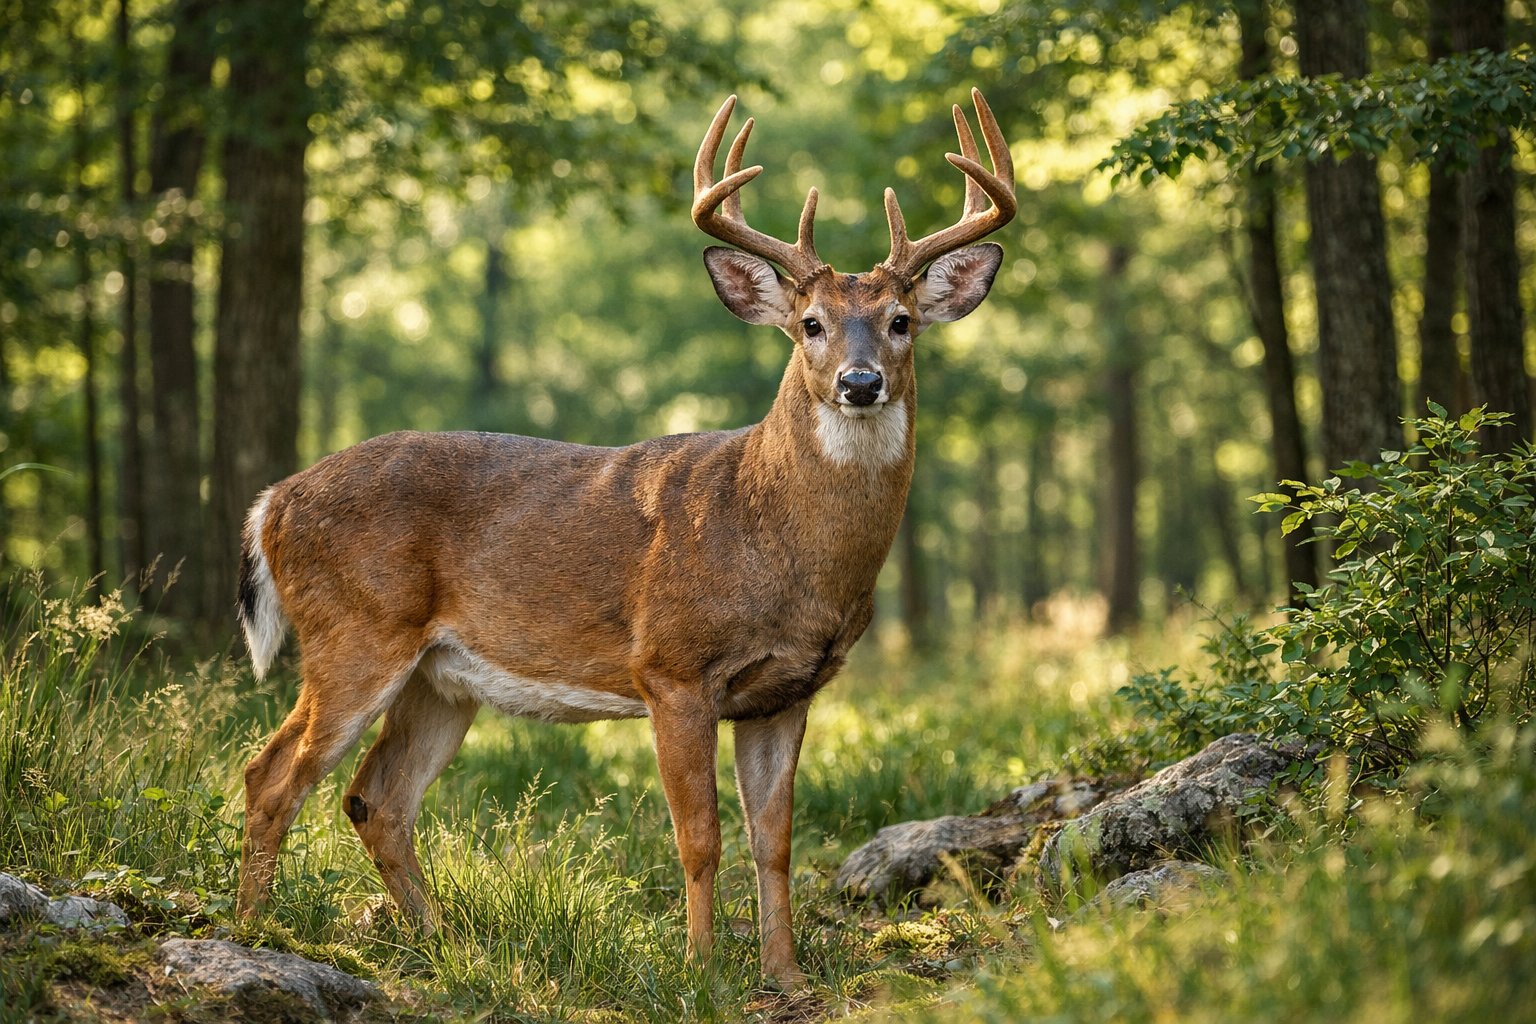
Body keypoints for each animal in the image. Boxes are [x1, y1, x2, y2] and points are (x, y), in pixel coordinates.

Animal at [234, 88, 1015, 987]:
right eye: (811, 323)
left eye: (902, 321)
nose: (860, 382)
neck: (774, 540)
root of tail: (273, 502)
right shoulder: (670, 668)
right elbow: (700, 837)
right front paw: (701, 970)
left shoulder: (788, 690)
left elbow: (774, 841)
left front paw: (783, 973)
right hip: (353, 630)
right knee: (271, 774)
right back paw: (257, 932)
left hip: (441, 677)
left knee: (377, 797)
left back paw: (444, 945)